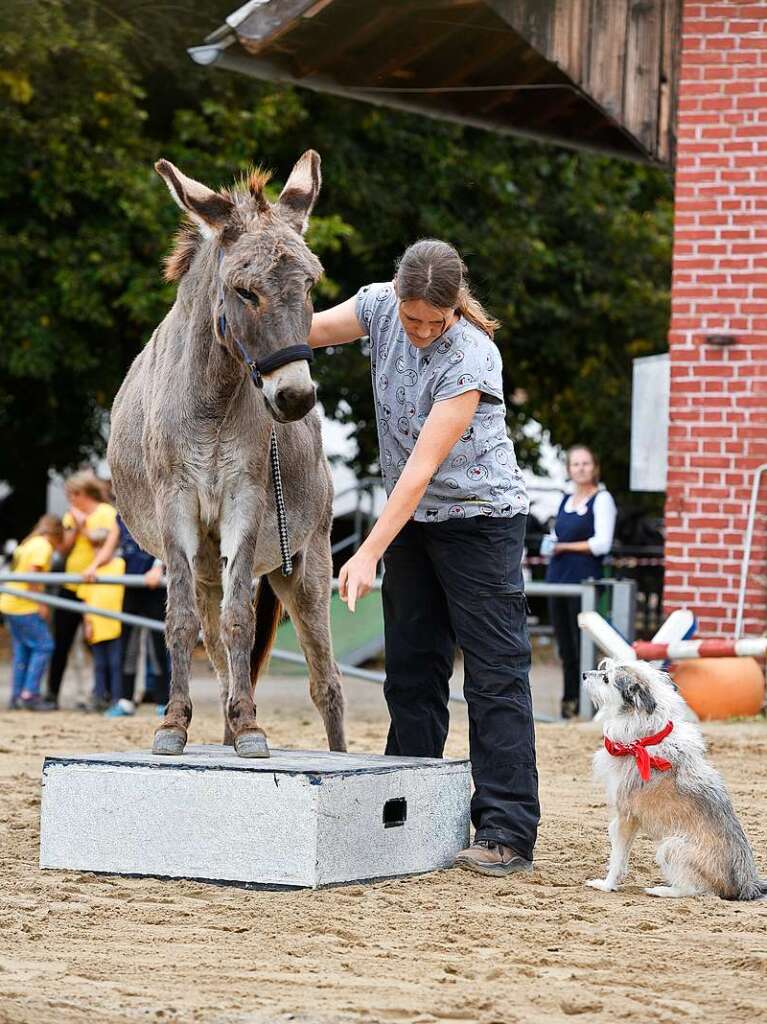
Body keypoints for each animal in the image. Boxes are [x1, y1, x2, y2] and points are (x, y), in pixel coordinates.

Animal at [581, 659, 761, 901]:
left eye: (606, 678)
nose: (583, 674)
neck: (643, 740)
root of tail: (745, 886)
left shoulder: (626, 816)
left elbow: (617, 858)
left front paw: (606, 884)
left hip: (671, 846)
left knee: (695, 891)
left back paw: (662, 889)